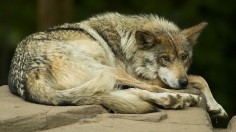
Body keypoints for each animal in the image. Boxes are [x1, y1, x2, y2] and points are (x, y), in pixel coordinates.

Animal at [7, 12, 227, 117]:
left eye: (184, 57)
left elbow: (200, 78)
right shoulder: (142, 76)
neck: (126, 43)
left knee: (128, 93)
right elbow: (199, 77)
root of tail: (29, 76)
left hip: (105, 79)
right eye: (165, 58)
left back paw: (173, 100)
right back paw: (182, 98)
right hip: (109, 71)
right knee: (150, 89)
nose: (182, 82)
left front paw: (217, 107)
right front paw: (214, 105)